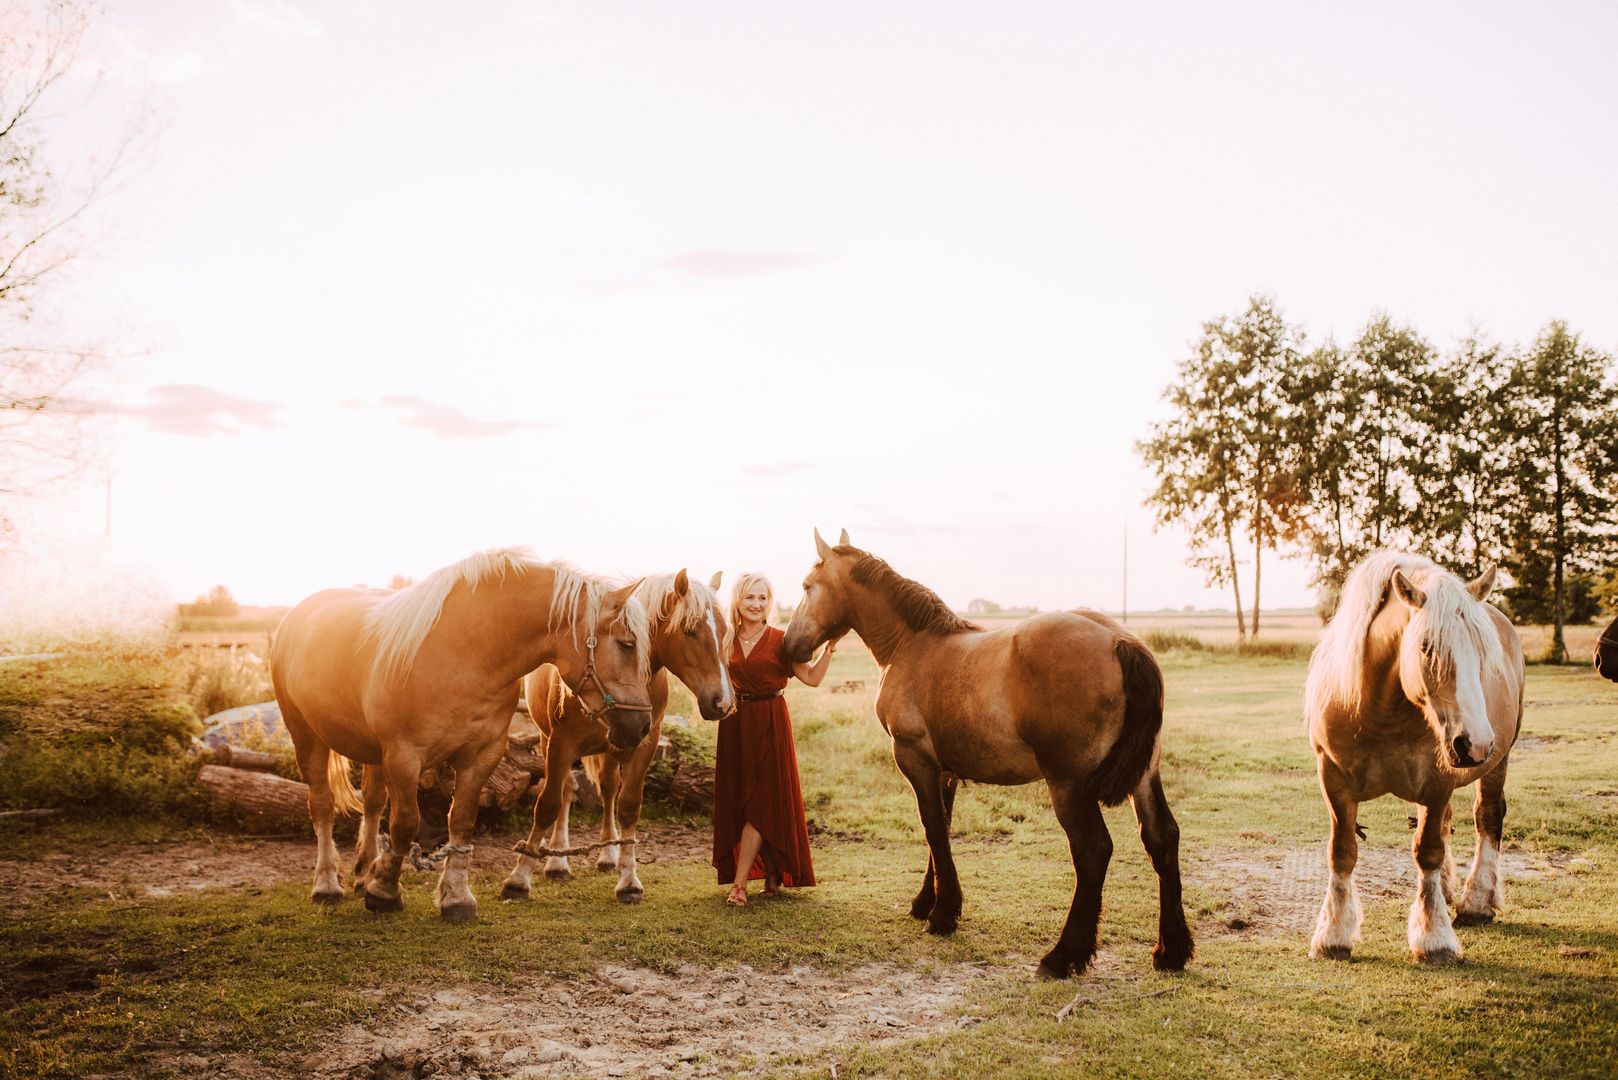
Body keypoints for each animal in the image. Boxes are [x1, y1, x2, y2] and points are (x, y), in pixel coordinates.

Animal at [270, 548, 653, 922]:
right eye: (627, 644)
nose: (642, 726)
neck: (465, 654)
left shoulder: (480, 756)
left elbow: (461, 821)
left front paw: (455, 896)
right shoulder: (404, 757)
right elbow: (405, 824)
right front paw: (385, 892)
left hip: (372, 753)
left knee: (373, 803)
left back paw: (366, 872)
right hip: (305, 735)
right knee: (322, 805)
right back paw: (326, 885)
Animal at [499, 569, 734, 904]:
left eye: (725, 631)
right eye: (690, 631)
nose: (723, 702)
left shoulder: (643, 744)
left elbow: (628, 806)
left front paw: (629, 879)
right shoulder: (560, 745)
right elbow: (548, 805)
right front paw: (518, 879)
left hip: (611, 750)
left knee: (608, 791)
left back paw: (607, 855)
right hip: (548, 742)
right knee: (566, 793)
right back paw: (558, 859)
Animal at [782, 529, 1193, 979]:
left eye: (806, 586)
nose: (788, 647)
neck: (913, 644)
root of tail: (1121, 641)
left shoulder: (914, 760)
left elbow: (932, 829)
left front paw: (942, 915)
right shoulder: (944, 770)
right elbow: (940, 829)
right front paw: (928, 901)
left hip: (1068, 785)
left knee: (1093, 851)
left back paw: (1063, 956)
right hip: (1144, 776)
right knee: (1162, 838)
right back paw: (1171, 951)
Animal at [1305, 551, 1524, 964]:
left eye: (1482, 651)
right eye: (1426, 647)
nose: (1476, 743)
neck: (1379, 712)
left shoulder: (1437, 783)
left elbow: (1428, 852)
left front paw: (1434, 938)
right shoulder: (1334, 781)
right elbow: (1342, 851)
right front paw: (1333, 936)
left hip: (1497, 762)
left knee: (1487, 817)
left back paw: (1476, 901)